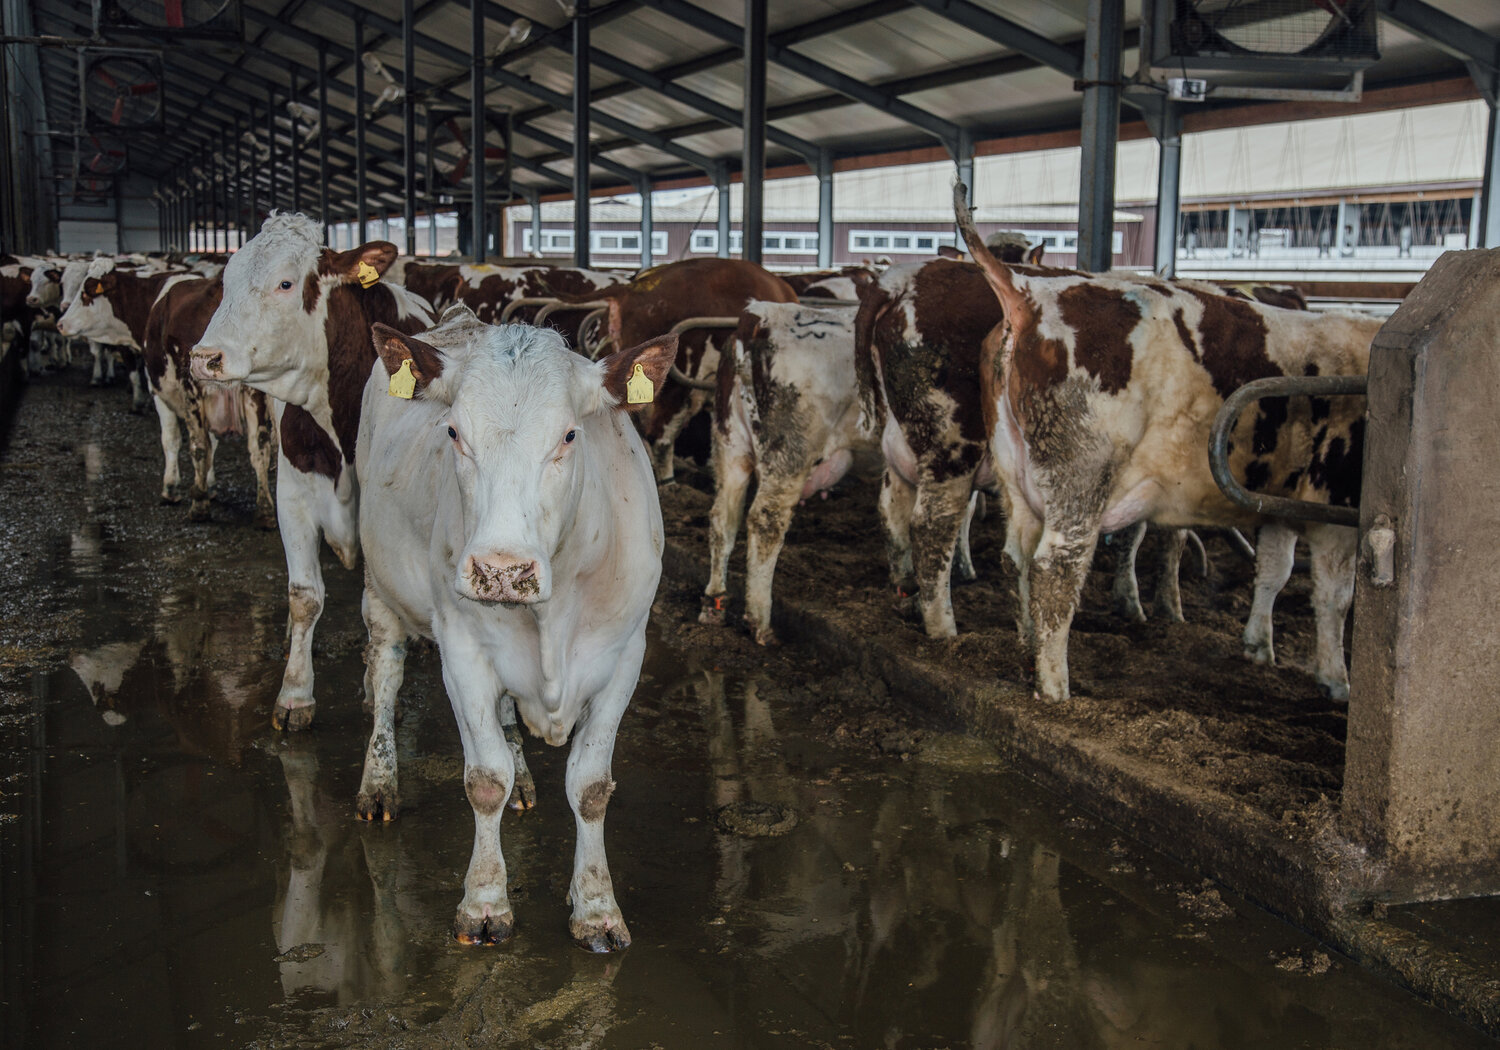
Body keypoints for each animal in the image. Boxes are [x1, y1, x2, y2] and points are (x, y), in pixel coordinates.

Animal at [355, 304, 678, 950]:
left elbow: (591, 788)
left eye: (570, 435)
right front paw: (484, 901)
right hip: (380, 583)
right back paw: (378, 781)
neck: (552, 617)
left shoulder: (624, 656)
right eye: (454, 433)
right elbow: (484, 780)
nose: (501, 571)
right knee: (385, 674)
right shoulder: (462, 653)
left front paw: (597, 906)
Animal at [952, 183, 1377, 701]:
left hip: (1017, 479)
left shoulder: (1277, 502)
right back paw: (1055, 686)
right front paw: (1337, 681)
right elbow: (1336, 598)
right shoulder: (1339, 507)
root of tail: (1029, 291)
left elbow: (1273, 573)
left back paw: (1028, 648)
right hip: (1081, 482)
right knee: (1055, 568)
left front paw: (1259, 646)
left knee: (1017, 557)